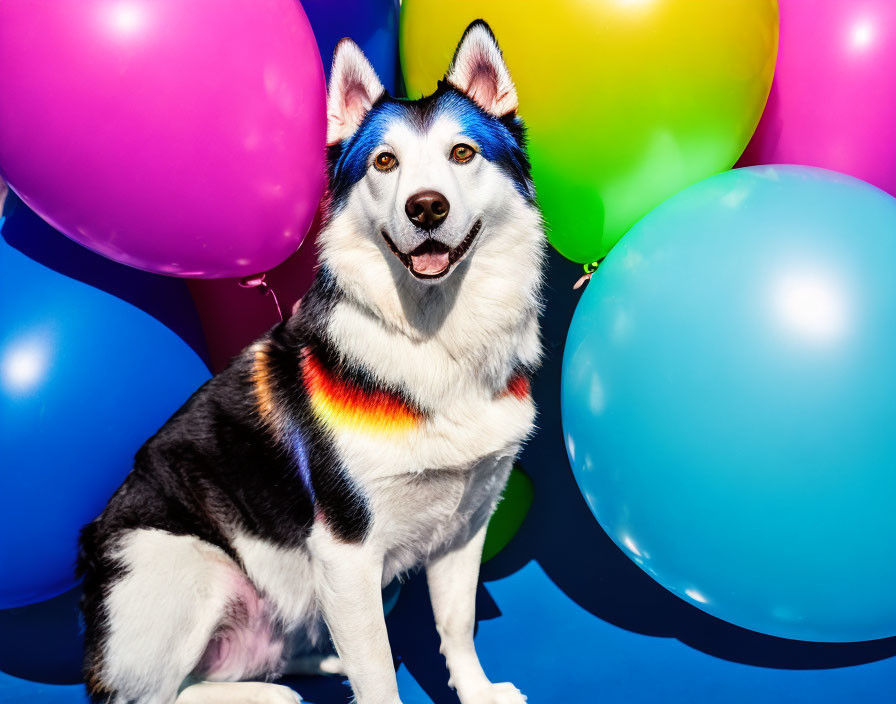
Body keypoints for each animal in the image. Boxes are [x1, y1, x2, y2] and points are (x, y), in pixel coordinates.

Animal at [79, 22, 540, 704]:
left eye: (463, 153)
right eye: (384, 162)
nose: (426, 207)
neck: (433, 334)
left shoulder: (465, 525)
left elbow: (455, 623)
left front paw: (477, 691)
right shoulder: (345, 551)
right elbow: (378, 675)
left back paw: (315, 664)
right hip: (184, 563)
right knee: (154, 694)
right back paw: (271, 694)